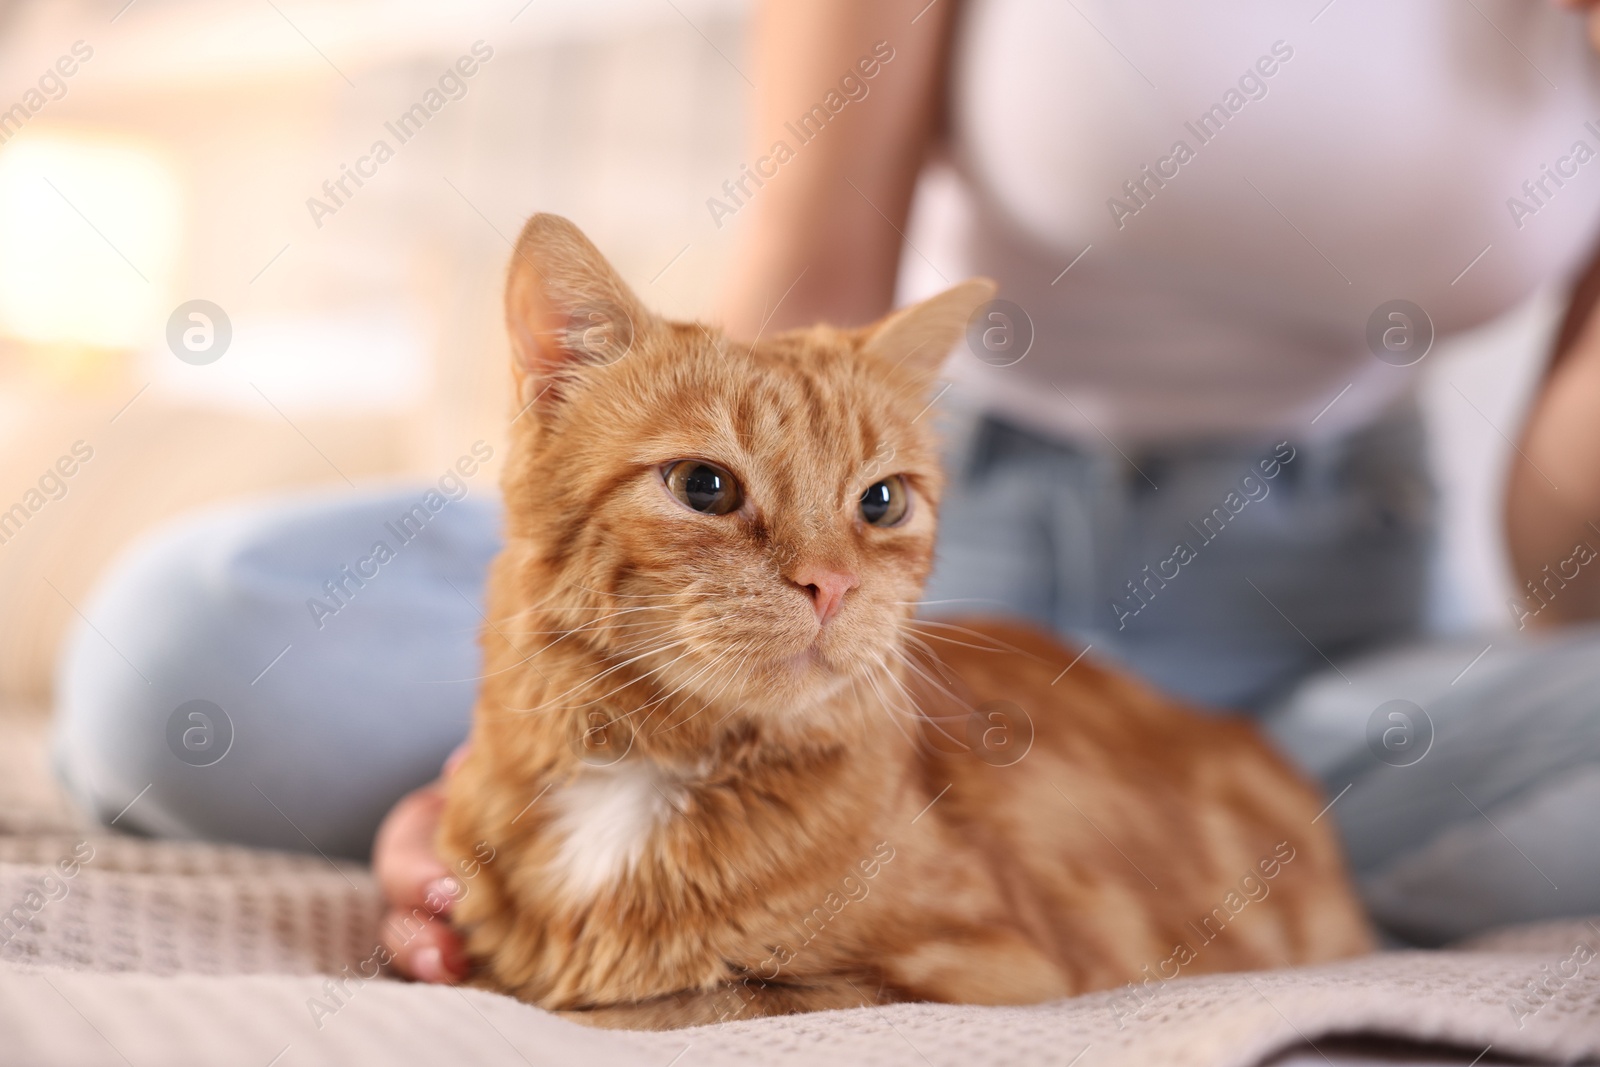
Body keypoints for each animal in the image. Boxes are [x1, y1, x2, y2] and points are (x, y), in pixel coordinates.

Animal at [441, 214, 1376, 1023]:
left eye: (882, 501)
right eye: (703, 486)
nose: (829, 584)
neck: (641, 778)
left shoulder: (982, 973)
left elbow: (671, 1000)